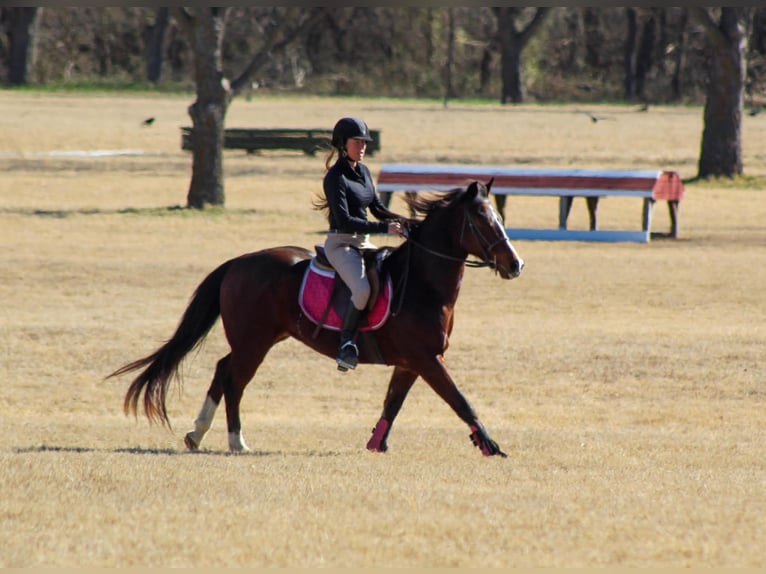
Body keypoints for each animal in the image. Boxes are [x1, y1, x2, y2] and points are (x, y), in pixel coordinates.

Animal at [107, 179, 525, 457]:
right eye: (482, 221)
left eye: (499, 217)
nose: (515, 265)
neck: (423, 283)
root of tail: (238, 262)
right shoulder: (427, 359)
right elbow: (460, 400)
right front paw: (490, 444)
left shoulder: (410, 363)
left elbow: (393, 403)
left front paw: (376, 443)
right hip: (254, 341)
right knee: (233, 379)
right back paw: (235, 440)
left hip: (262, 338)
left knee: (223, 369)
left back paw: (198, 434)